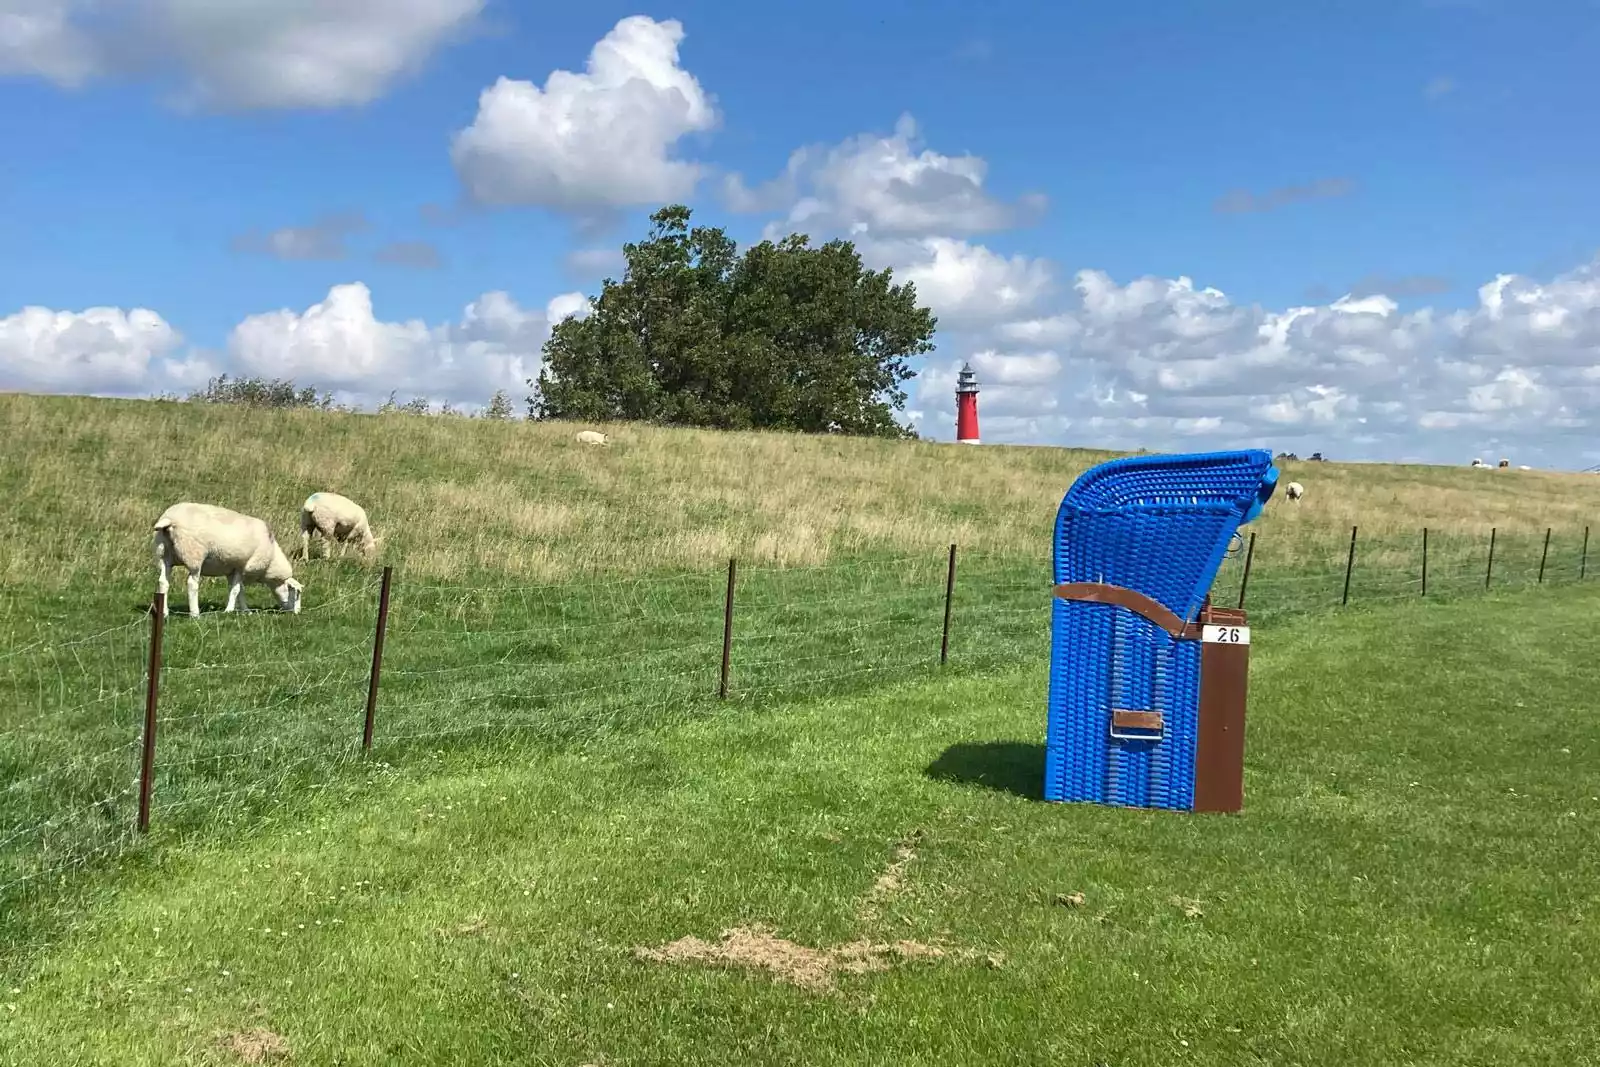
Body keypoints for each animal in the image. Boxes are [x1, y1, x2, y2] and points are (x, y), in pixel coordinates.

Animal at [153, 502, 303, 619]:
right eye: (297, 594)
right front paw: (229, 611)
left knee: (163, 582)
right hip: (193, 555)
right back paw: (195, 614)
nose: (297, 613)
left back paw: (164, 612)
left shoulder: (233, 569)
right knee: (192, 584)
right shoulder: (242, 566)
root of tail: (170, 519)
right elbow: (236, 590)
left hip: (164, 554)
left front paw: (246, 611)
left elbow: (239, 590)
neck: (271, 559)